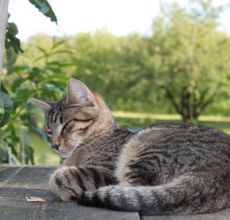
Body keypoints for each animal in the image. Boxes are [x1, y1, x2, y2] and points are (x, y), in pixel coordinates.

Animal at [31, 78, 230, 215]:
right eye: (48, 131)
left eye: (66, 126)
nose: (54, 145)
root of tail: (216, 173)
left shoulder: (105, 171)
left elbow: (59, 179)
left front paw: (58, 181)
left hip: (143, 153)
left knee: (135, 191)